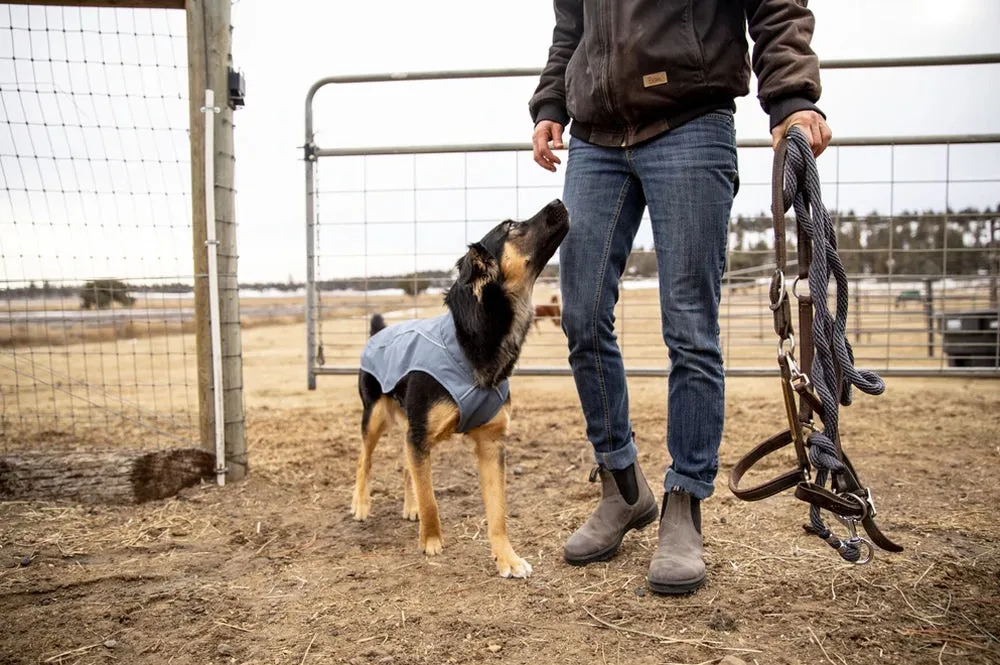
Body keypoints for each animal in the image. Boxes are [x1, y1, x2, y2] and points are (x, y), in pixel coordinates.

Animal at [354, 197, 572, 576]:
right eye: (511, 226)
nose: (559, 200)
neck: (473, 342)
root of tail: (379, 331)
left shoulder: (491, 442)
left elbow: (498, 513)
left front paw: (507, 558)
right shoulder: (420, 435)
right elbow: (431, 499)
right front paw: (431, 542)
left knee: (405, 464)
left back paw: (408, 505)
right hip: (375, 415)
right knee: (364, 459)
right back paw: (361, 503)